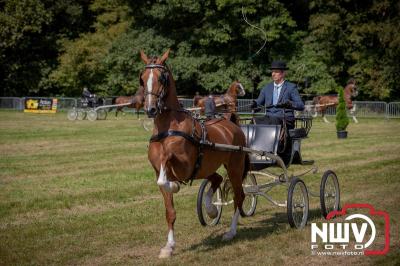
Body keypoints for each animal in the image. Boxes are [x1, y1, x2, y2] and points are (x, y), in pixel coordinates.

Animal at [139, 49, 248, 258]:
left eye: (162, 78)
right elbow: (169, 210)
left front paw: (175, 185)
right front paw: (169, 247)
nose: (150, 109)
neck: (168, 129)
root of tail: (232, 125)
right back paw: (211, 209)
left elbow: (167, 173)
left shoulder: (185, 166)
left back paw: (231, 231)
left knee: (239, 196)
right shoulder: (158, 171)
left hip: (235, 168)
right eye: (142, 78)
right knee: (217, 180)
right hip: (206, 168)